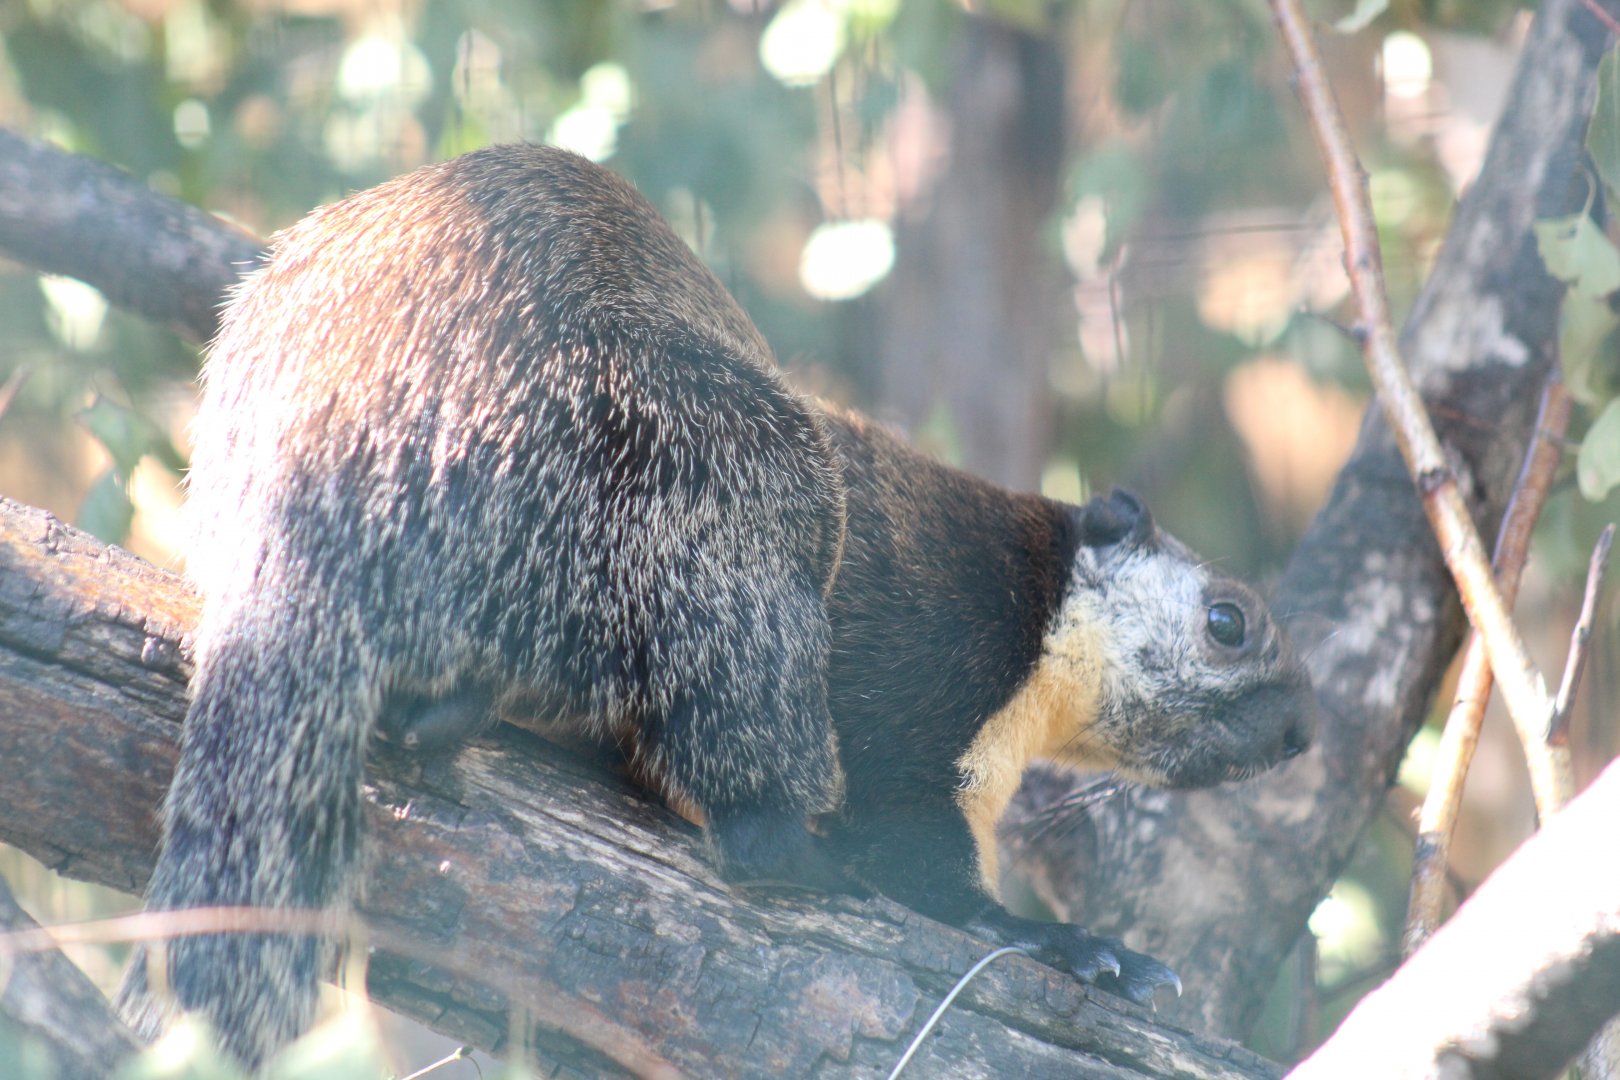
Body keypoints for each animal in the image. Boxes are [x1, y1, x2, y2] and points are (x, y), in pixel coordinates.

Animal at [118, 144, 1315, 1069]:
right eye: (1229, 620)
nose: (1306, 730)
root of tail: (315, 471)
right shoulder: (925, 687)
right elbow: (930, 873)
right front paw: (1089, 951)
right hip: (741, 483)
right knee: (748, 810)